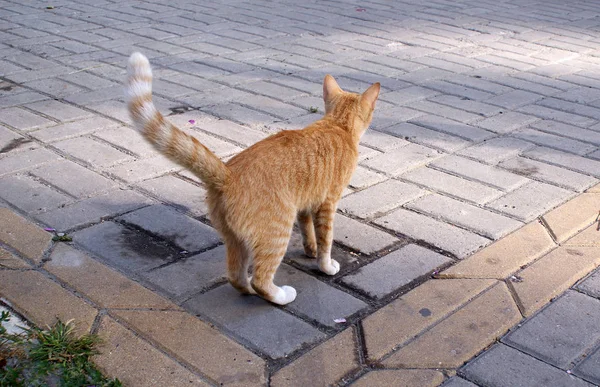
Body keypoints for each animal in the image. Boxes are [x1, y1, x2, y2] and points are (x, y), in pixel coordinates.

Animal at [126, 52, 380, 306]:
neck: (338, 124)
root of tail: (229, 175)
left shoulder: (306, 204)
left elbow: (308, 232)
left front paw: (311, 251)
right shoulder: (327, 204)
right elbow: (326, 240)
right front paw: (325, 265)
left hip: (236, 240)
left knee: (235, 276)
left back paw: (247, 288)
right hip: (277, 233)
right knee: (261, 279)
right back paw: (281, 295)